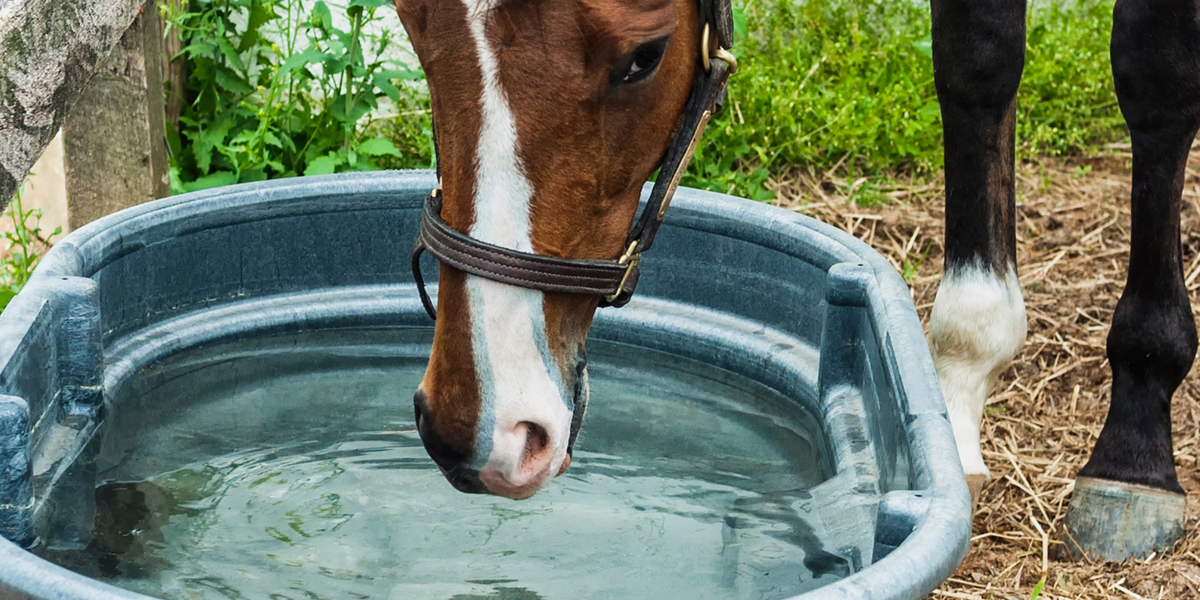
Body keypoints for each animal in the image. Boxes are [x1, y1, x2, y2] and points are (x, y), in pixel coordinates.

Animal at [391, 0, 1200, 560]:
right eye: (409, 21)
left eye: (643, 58)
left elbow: (1157, 72)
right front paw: (963, 395)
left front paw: (1136, 447)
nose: (479, 431)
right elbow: (979, 60)